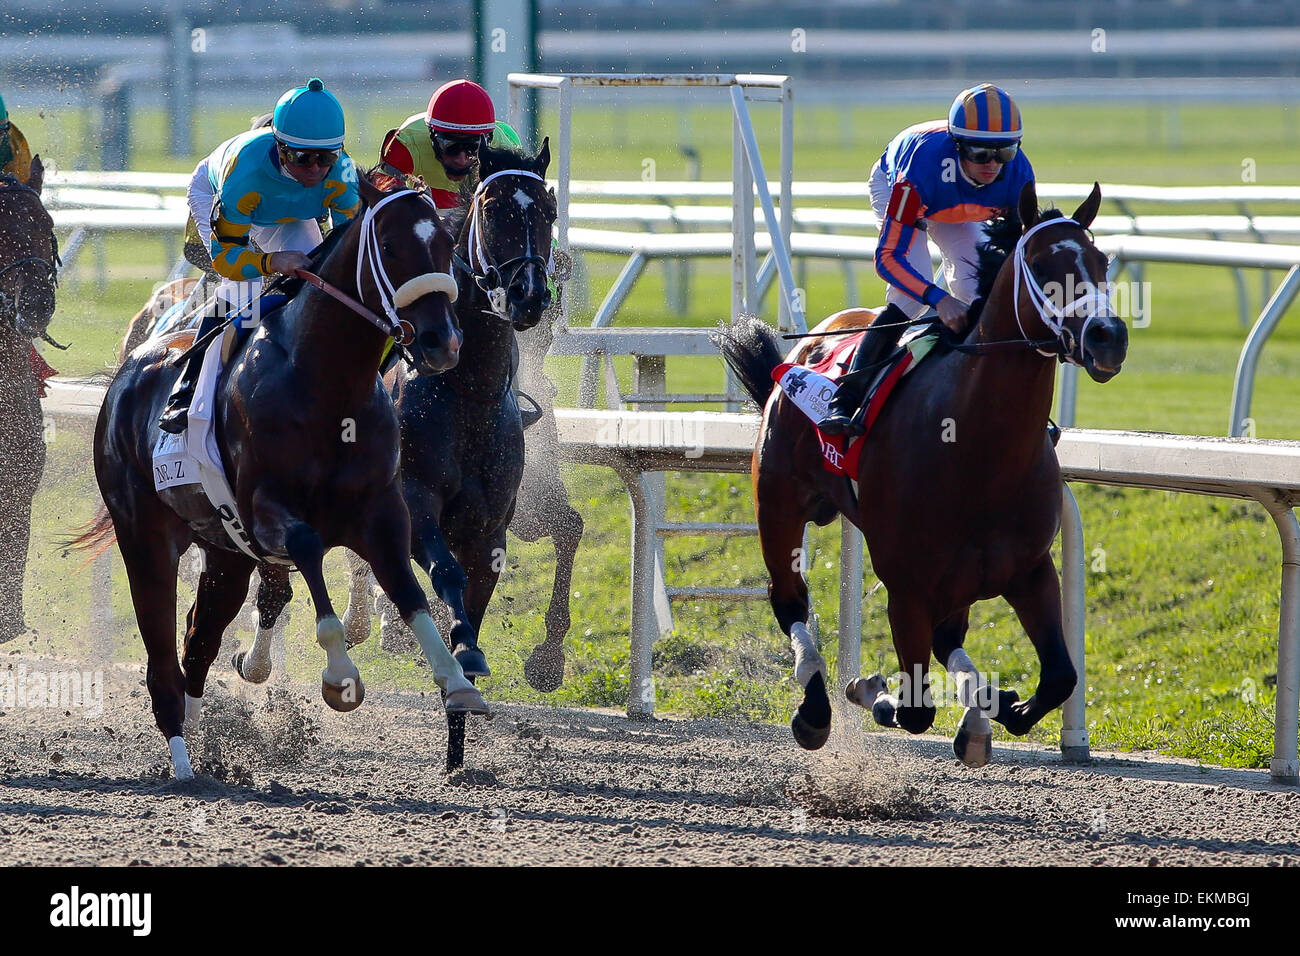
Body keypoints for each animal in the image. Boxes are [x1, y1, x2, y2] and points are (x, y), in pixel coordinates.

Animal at [72, 174, 488, 785]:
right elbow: (310, 549)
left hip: (225, 552)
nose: (443, 342)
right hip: (146, 538)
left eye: (445, 248)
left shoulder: (382, 514)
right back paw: (181, 761)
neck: (327, 387)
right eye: (390, 248)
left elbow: (410, 592)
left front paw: (458, 683)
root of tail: (125, 374)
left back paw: (200, 737)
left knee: (199, 637)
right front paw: (340, 677)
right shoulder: (268, 513)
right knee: (162, 653)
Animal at [338, 138, 561, 770]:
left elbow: (476, 595)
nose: (528, 296)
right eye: (492, 210)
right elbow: (444, 572)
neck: (466, 392)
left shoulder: (490, 525)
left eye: (547, 211)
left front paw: (460, 726)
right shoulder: (416, 502)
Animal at [712, 183, 1128, 764]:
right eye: (1044, 264)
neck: (978, 450)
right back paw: (816, 709)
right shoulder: (905, 586)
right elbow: (913, 708)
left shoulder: (1030, 569)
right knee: (789, 598)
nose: (1108, 336)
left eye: (1101, 261)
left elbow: (1059, 678)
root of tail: (805, 347)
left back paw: (979, 714)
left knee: (949, 638)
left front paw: (1003, 706)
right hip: (777, 506)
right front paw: (870, 687)